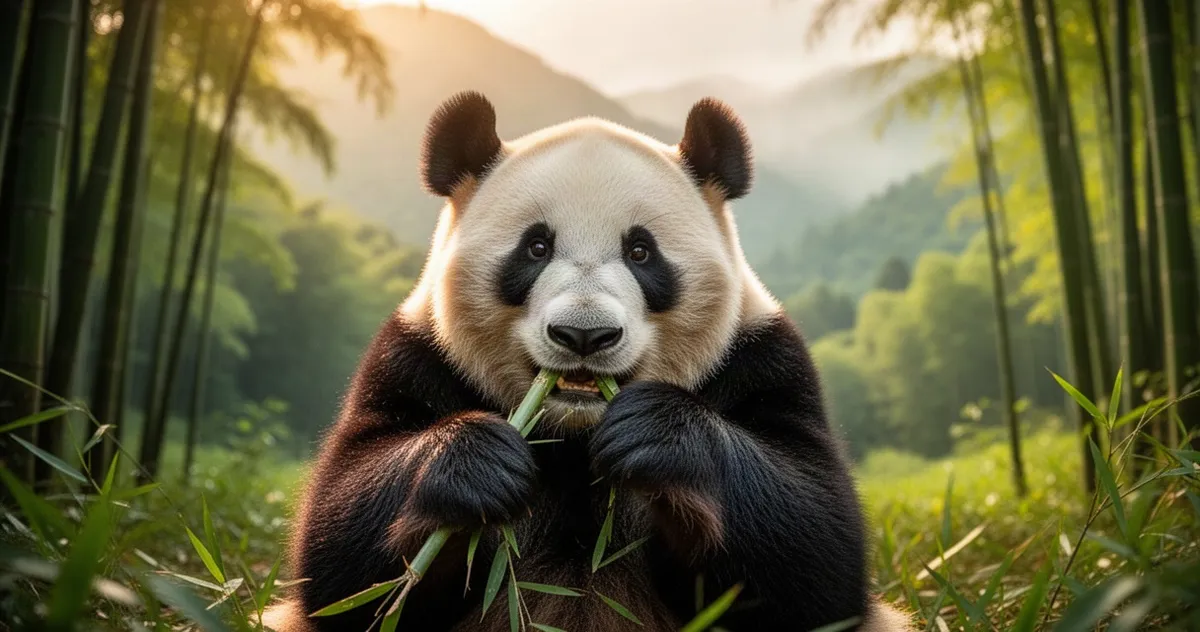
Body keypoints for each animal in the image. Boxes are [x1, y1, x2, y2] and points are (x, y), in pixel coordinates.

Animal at [263, 91, 913, 632]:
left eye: (641, 251)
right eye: (536, 246)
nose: (583, 334)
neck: (573, 432)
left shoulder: (760, 356)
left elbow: (814, 549)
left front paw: (655, 434)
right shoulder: (417, 355)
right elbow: (341, 557)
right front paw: (479, 461)